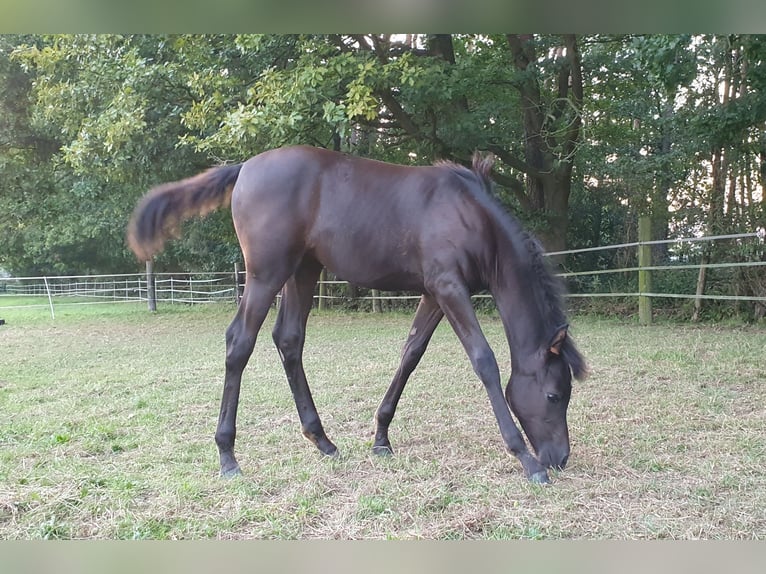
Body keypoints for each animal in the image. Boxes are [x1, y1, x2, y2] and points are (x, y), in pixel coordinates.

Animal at [130, 145, 588, 486]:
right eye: (554, 395)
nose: (560, 458)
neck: (472, 217)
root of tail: (245, 167)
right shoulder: (448, 288)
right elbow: (484, 361)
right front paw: (525, 459)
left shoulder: (433, 294)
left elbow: (410, 354)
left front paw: (381, 438)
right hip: (267, 273)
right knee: (239, 341)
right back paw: (228, 455)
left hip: (303, 270)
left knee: (288, 339)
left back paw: (322, 440)